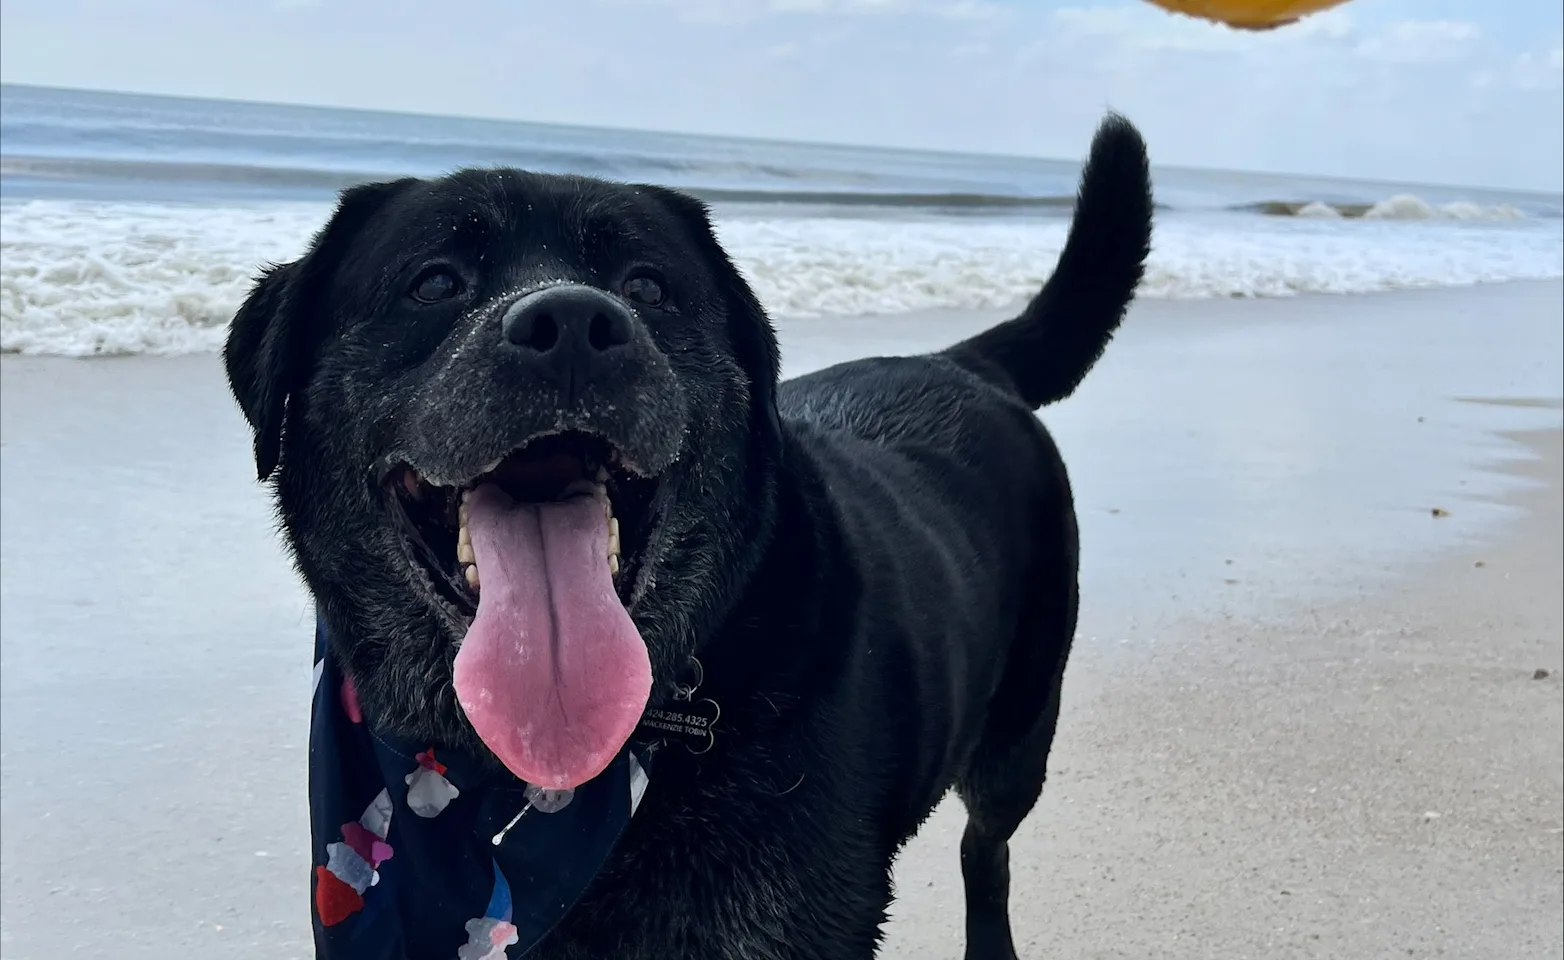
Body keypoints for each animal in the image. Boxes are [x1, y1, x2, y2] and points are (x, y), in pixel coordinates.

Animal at [231, 114, 1157, 960]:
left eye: (646, 287)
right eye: (433, 283)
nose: (573, 324)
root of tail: (963, 362)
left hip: (1019, 735)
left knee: (986, 849)